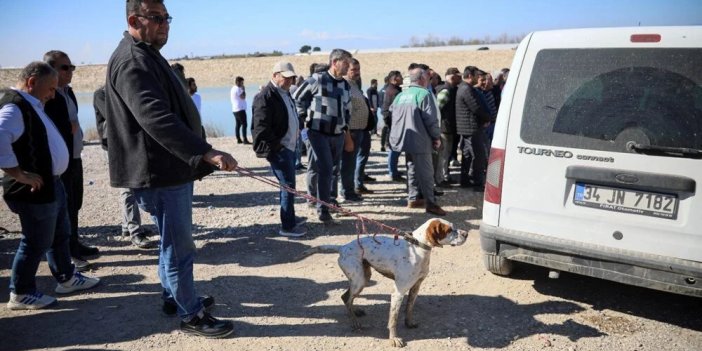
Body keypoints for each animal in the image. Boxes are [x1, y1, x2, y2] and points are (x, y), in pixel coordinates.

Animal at [296, 219, 468, 348]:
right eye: (449, 230)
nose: (466, 233)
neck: (417, 248)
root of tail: (342, 247)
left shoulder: (415, 287)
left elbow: (409, 309)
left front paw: (409, 323)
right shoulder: (398, 292)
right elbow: (393, 319)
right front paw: (394, 339)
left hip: (363, 277)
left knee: (347, 297)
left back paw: (355, 312)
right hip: (359, 280)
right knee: (346, 297)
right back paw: (355, 323)